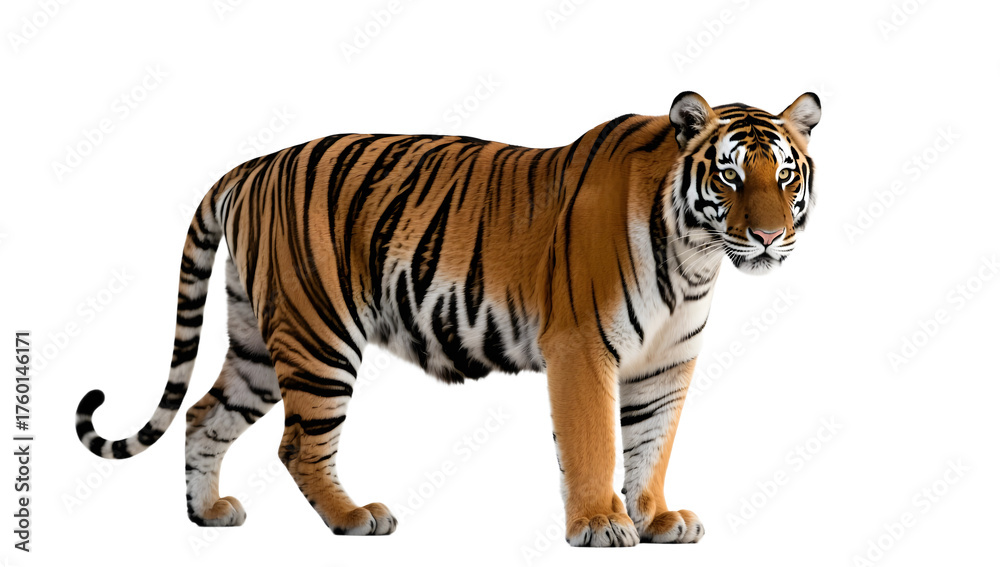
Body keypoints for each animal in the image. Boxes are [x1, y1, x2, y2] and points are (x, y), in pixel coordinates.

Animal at [75, 91, 820, 547]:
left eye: (784, 176)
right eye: (729, 176)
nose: (767, 237)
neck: (696, 257)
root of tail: (253, 164)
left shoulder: (666, 364)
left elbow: (651, 445)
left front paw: (657, 517)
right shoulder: (582, 347)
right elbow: (595, 443)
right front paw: (600, 524)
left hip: (260, 340)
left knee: (204, 415)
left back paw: (208, 513)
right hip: (318, 335)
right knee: (298, 444)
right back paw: (355, 517)